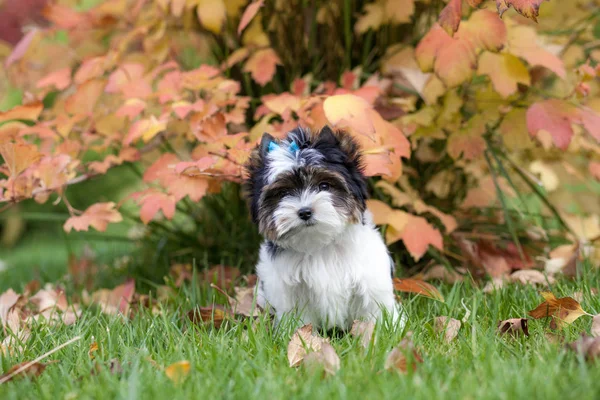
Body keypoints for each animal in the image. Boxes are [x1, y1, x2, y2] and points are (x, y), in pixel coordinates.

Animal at [243, 126, 404, 332]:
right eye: (284, 193)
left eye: (324, 185)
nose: (305, 212)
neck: (319, 243)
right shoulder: (290, 291)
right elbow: (297, 318)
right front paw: (296, 334)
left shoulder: (370, 280)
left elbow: (376, 310)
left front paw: (385, 331)